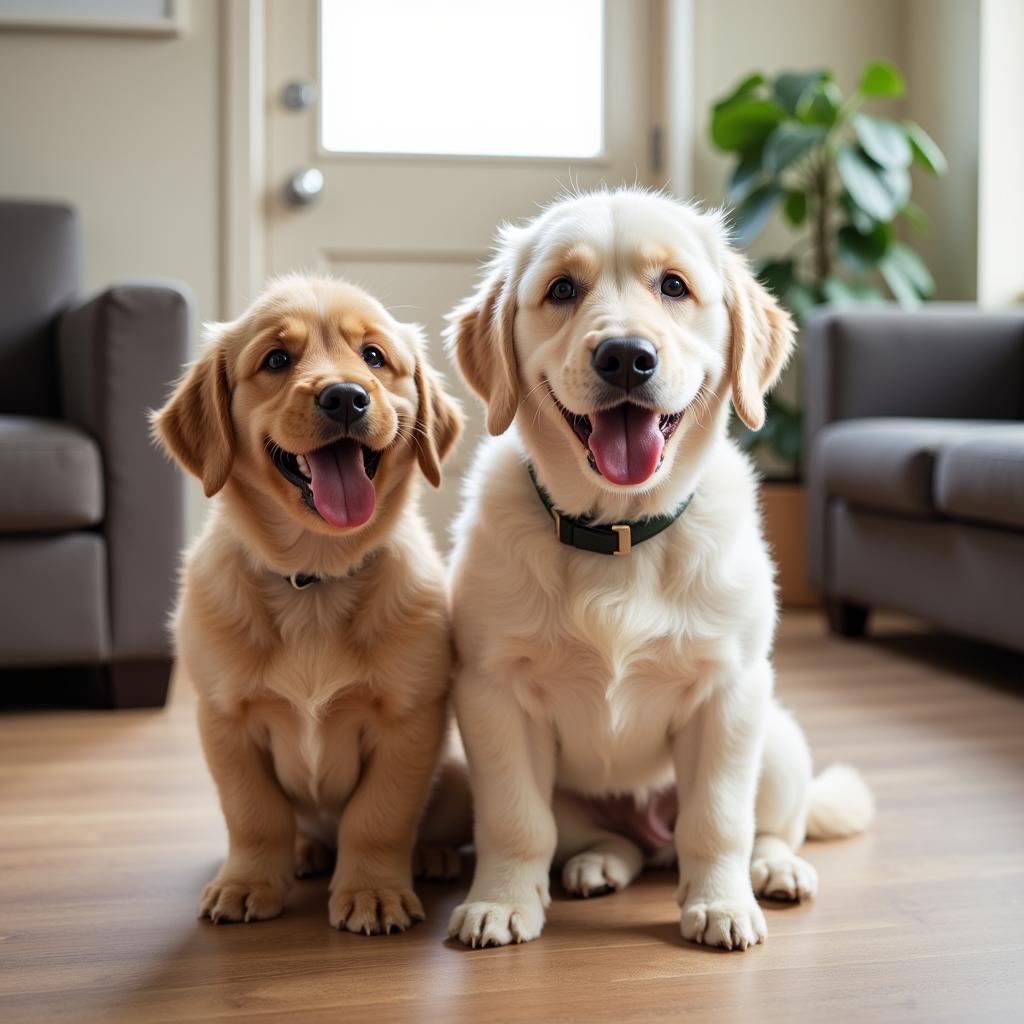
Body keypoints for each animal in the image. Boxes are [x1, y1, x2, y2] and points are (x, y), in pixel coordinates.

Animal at [151, 274, 460, 937]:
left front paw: (373, 891)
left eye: (374, 357)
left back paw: (434, 854)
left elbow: (380, 816)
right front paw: (248, 883)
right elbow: (254, 814)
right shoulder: (225, 721)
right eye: (276, 360)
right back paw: (304, 851)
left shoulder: (409, 722)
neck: (314, 578)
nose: (345, 397)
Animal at [440, 188, 872, 946]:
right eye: (562, 290)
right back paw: (599, 864)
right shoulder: (493, 694)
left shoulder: (729, 691)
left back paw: (775, 870)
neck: (620, 532)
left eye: (673, 286)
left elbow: (718, 821)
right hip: (582, 798)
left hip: (778, 739)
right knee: (607, 842)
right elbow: (515, 821)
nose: (625, 356)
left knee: (768, 827)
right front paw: (500, 901)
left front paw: (722, 904)